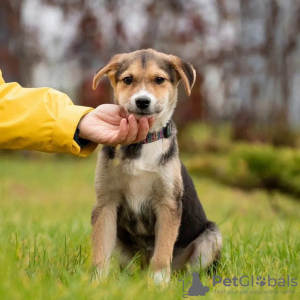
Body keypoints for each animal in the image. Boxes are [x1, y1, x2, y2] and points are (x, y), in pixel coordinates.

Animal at [90, 48, 221, 284]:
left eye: (159, 80)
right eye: (128, 80)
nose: (142, 101)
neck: (141, 144)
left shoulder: (167, 203)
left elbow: (162, 251)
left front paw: (158, 283)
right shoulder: (106, 202)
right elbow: (100, 250)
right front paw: (96, 283)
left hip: (211, 237)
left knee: (190, 270)